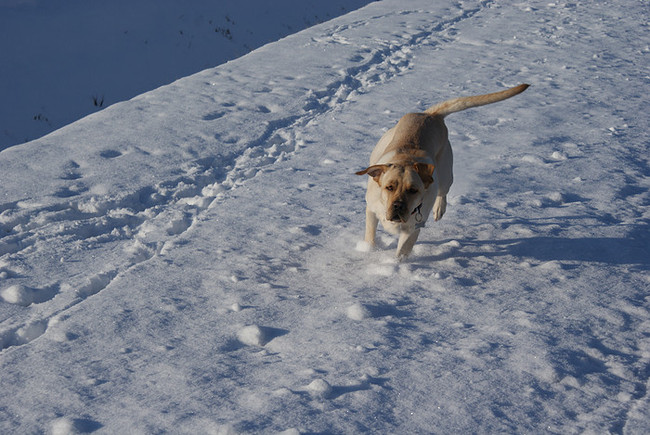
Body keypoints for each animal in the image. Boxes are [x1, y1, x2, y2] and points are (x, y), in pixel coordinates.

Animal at [356, 84, 529, 259]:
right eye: (389, 187)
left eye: (413, 190)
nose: (398, 205)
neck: (405, 160)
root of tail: (429, 115)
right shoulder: (371, 209)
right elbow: (370, 234)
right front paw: (369, 251)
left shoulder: (414, 228)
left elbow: (402, 251)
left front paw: (396, 263)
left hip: (445, 173)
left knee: (443, 191)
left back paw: (439, 209)